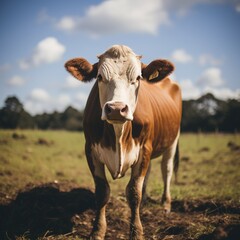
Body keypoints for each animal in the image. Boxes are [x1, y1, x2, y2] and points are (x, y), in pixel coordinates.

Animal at [64, 44, 181, 238]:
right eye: (99, 77)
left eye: (138, 78)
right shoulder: (90, 150)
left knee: (167, 169)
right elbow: (102, 192)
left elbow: (134, 193)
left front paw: (137, 232)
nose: (117, 109)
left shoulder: (144, 149)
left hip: (172, 141)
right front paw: (97, 231)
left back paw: (166, 204)